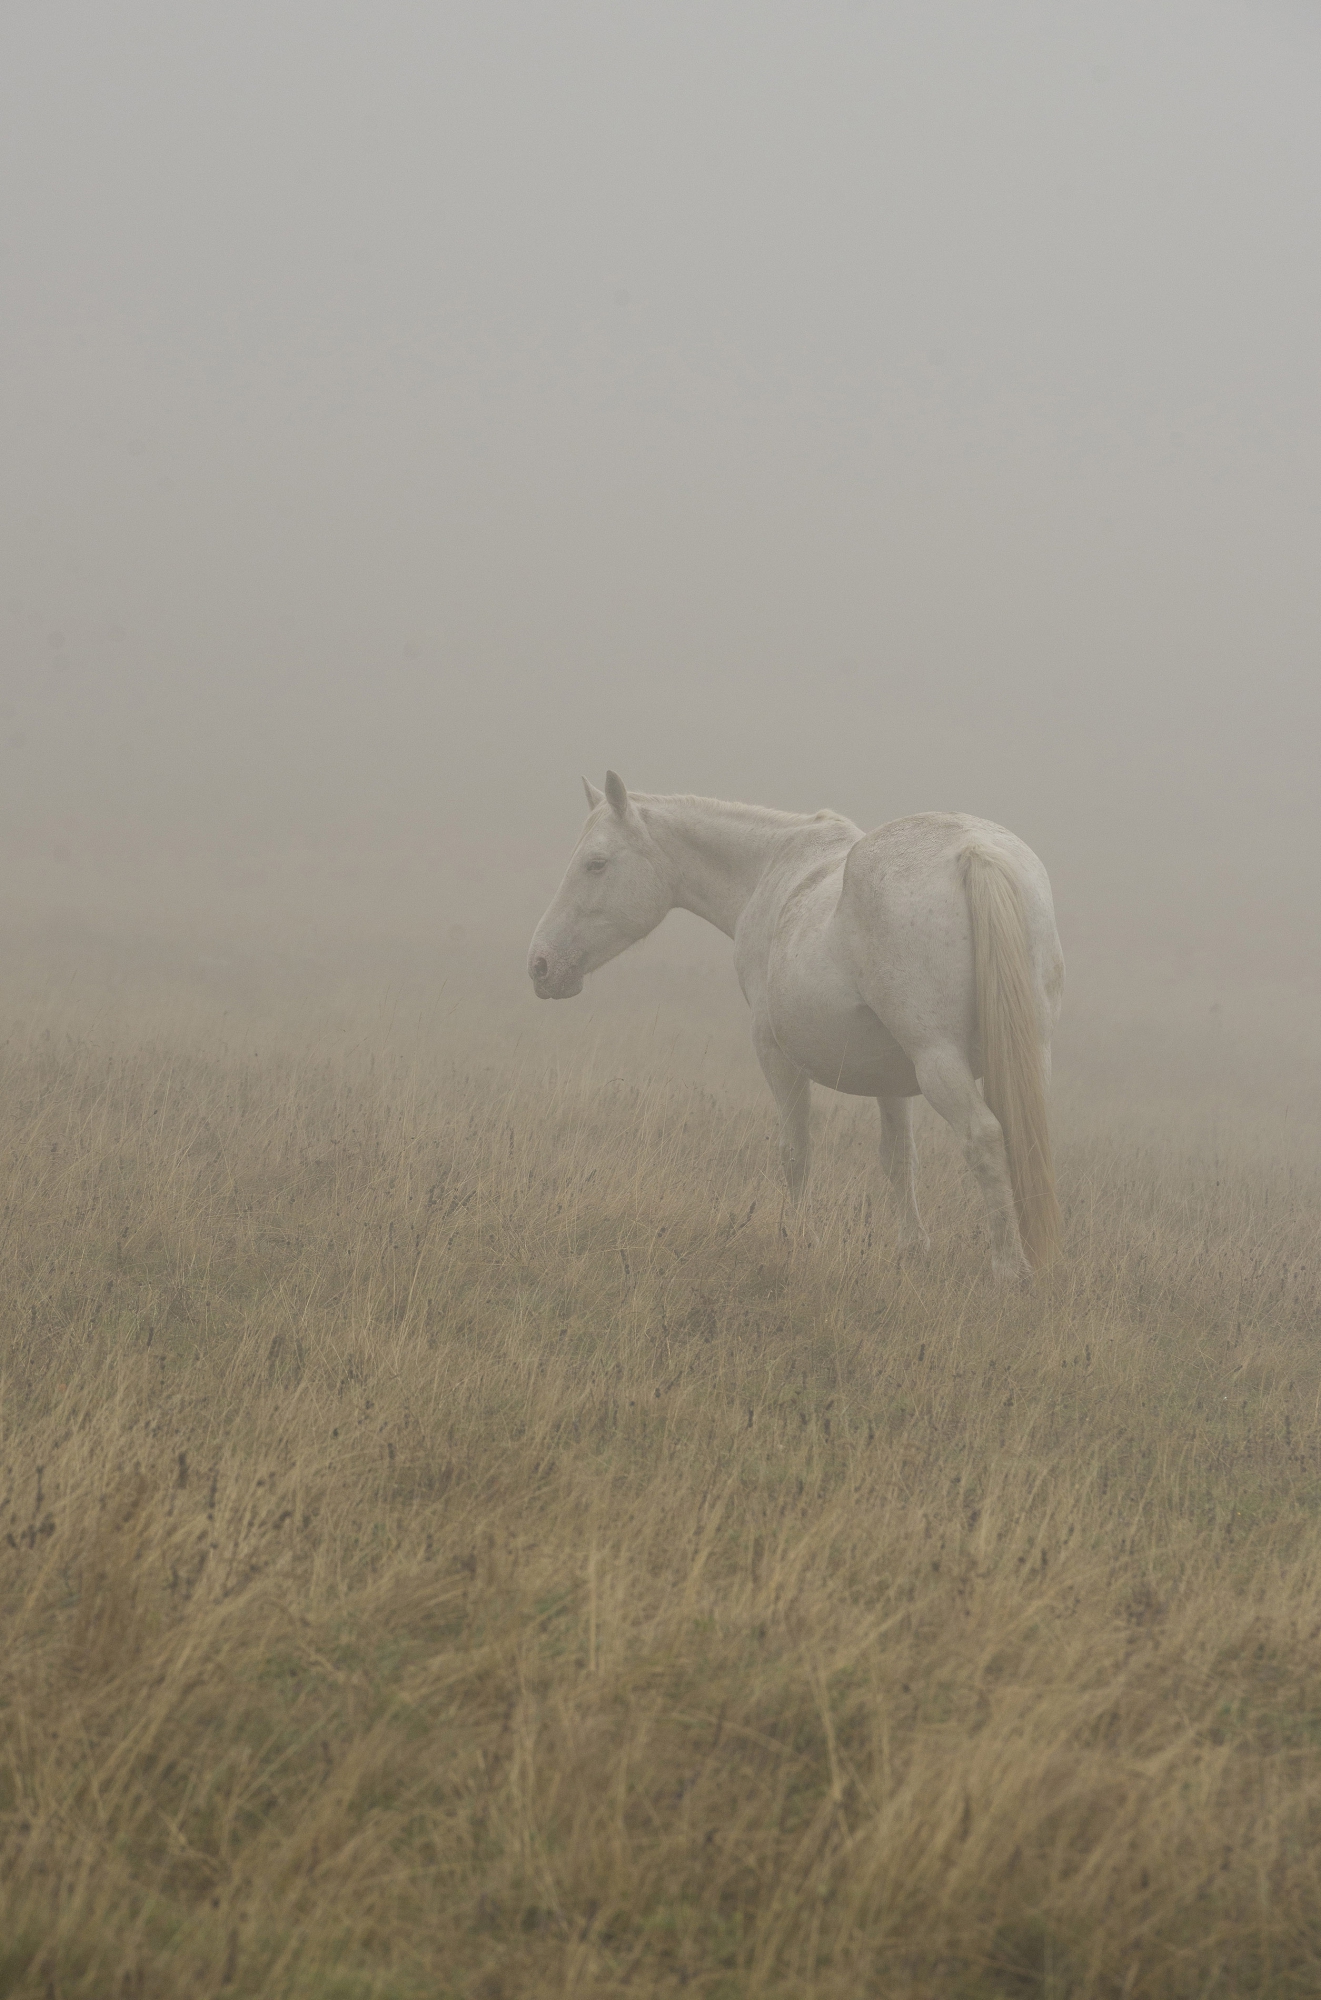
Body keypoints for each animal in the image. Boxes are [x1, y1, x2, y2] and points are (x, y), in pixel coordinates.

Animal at [524, 772, 1064, 1272]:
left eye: (596, 863)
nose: (541, 965)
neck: (770, 871)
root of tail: (974, 851)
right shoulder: (892, 1076)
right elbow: (898, 1159)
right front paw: (912, 1249)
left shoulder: (775, 1054)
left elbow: (795, 1151)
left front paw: (805, 1240)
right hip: (1023, 1057)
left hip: (940, 1064)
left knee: (984, 1138)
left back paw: (1010, 1271)